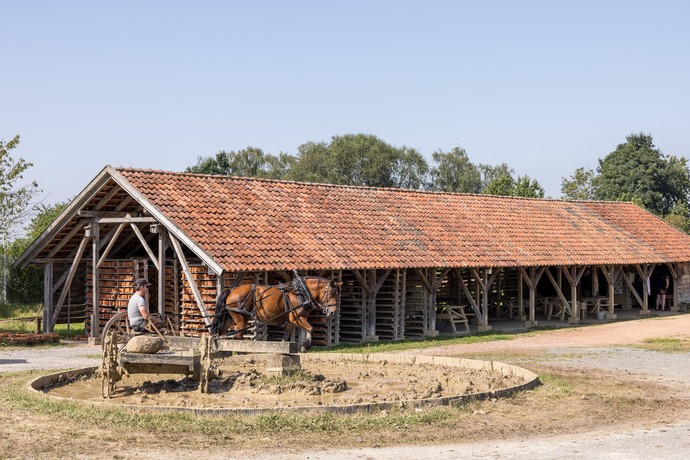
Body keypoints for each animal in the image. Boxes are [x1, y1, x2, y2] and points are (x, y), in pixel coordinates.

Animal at [208, 276, 340, 352]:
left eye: (337, 294)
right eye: (330, 293)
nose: (332, 312)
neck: (301, 292)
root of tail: (232, 290)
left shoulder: (292, 321)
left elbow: (287, 336)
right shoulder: (297, 318)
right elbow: (311, 329)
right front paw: (305, 346)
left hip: (230, 318)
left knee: (220, 334)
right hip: (241, 319)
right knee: (237, 337)